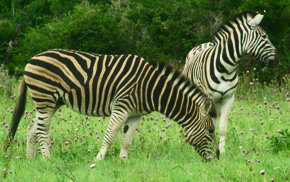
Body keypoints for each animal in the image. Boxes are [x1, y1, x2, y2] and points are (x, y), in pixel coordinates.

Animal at [3, 49, 220, 160]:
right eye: (210, 130)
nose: (217, 158)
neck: (150, 89)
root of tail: (31, 59)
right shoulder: (121, 106)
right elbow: (109, 136)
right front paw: (97, 161)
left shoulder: (135, 114)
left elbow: (126, 140)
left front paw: (123, 162)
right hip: (45, 98)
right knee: (41, 130)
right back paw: (49, 160)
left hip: (51, 101)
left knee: (32, 128)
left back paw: (33, 161)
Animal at [182, 10, 280, 154]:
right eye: (263, 37)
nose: (277, 60)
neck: (225, 68)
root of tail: (204, 43)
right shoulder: (208, 98)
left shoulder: (228, 98)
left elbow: (221, 127)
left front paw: (222, 151)